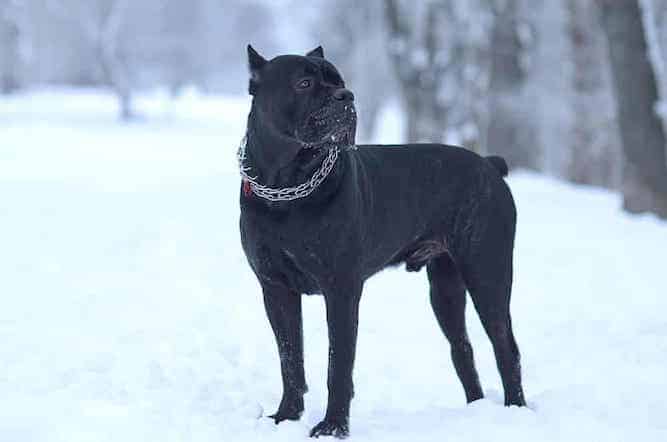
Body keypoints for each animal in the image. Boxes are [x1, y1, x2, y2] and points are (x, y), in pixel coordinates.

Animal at [240, 45, 528, 438]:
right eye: (304, 83)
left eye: (340, 81)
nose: (346, 97)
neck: (286, 186)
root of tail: (488, 164)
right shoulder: (276, 290)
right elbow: (290, 358)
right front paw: (286, 416)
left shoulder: (341, 291)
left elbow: (338, 363)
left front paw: (333, 427)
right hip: (445, 289)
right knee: (462, 348)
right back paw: (475, 409)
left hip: (488, 276)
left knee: (506, 348)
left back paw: (516, 411)